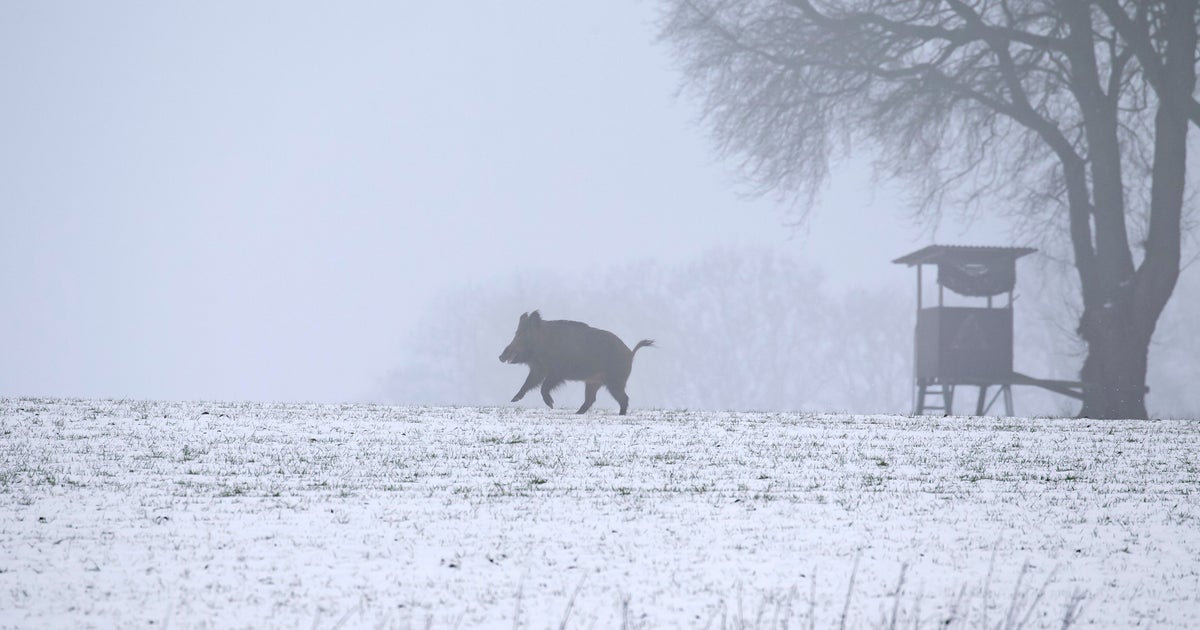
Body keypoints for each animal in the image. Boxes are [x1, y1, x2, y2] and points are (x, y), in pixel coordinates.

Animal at [499, 310, 654, 415]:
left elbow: (543, 387)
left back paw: (620, 415)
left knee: (624, 398)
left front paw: (551, 405)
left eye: (522, 335)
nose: (501, 356)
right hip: (593, 382)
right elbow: (527, 384)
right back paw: (577, 413)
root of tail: (630, 352)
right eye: (516, 333)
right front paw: (514, 399)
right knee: (591, 399)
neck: (543, 343)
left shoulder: (557, 373)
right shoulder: (538, 371)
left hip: (615, 381)